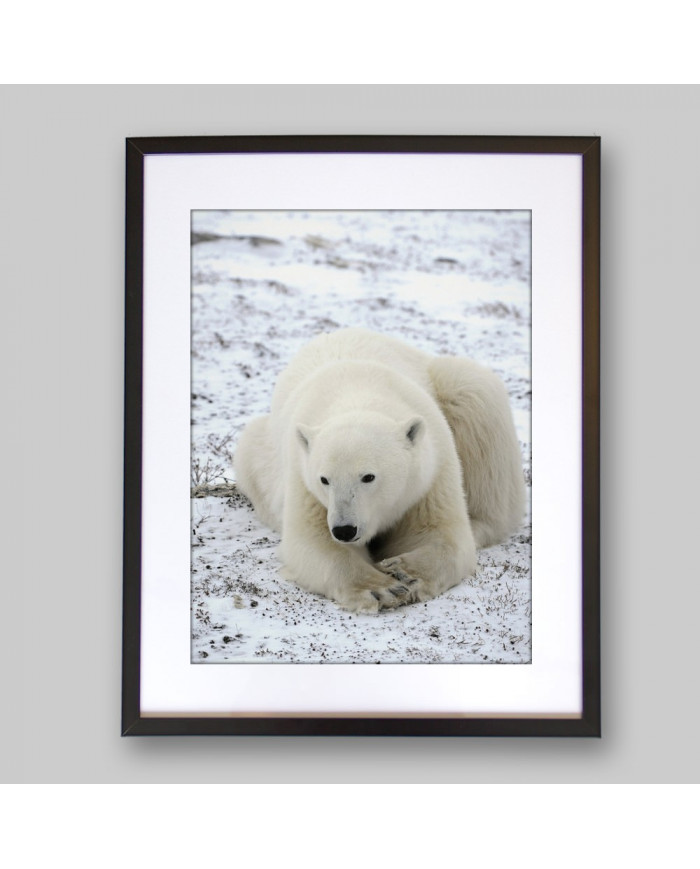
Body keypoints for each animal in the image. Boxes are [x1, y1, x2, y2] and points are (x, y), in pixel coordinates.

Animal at [234, 327, 525, 613]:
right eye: (325, 480)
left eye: (368, 477)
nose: (344, 530)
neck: (358, 392)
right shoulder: (303, 478)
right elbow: (312, 543)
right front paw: (381, 589)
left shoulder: (431, 472)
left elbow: (440, 534)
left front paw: (405, 572)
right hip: (259, 451)